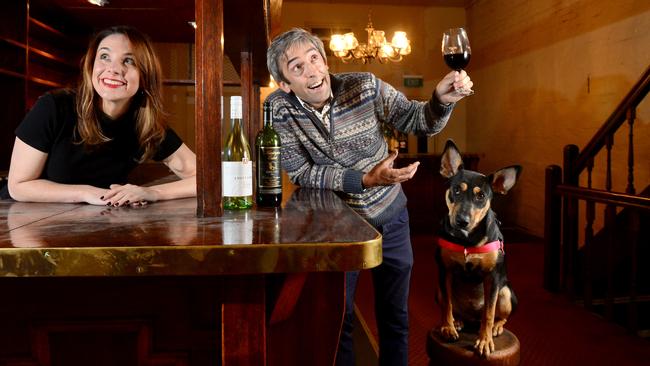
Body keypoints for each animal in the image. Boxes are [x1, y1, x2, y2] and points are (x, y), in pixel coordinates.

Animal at [432, 140, 520, 358]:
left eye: (481, 196)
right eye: (456, 190)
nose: (462, 221)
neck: (467, 240)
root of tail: (472, 318)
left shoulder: (493, 277)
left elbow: (489, 312)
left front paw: (485, 340)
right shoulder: (444, 270)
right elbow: (447, 304)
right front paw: (448, 328)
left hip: (506, 293)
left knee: (497, 315)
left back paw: (496, 327)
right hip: (439, 289)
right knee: (454, 307)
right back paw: (457, 321)